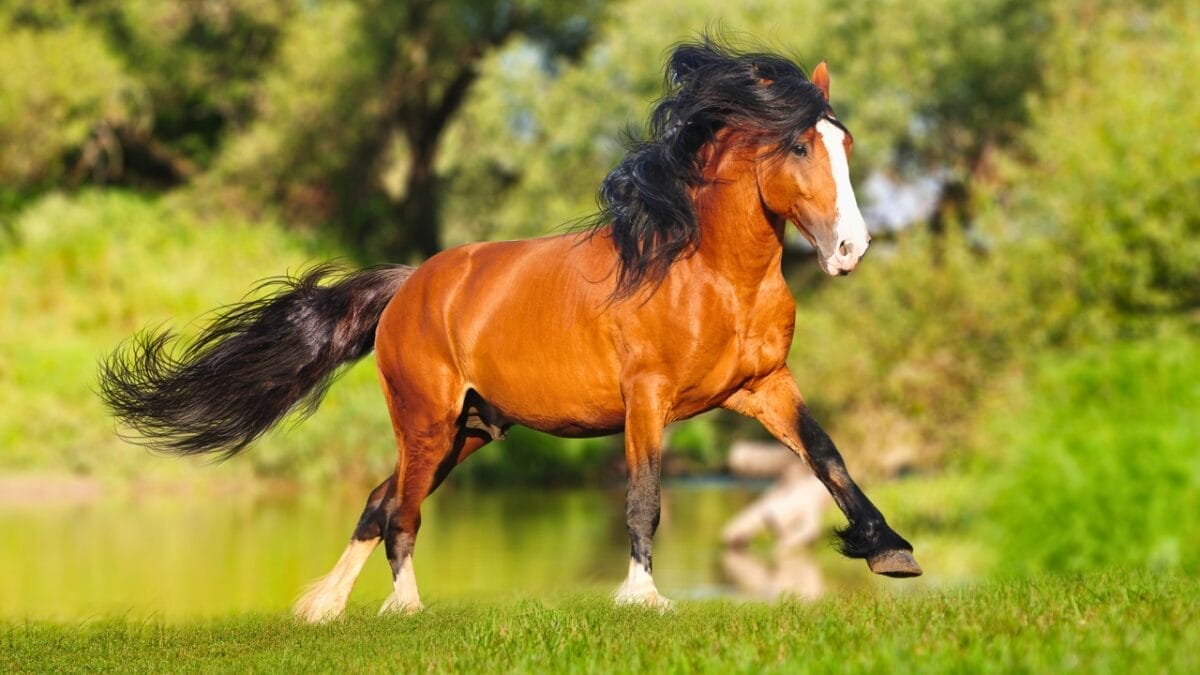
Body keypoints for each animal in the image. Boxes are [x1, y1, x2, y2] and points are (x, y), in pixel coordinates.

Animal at [99, 39, 921, 623]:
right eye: (797, 145)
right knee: (401, 509)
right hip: (427, 421)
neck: (709, 273)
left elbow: (827, 457)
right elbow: (644, 496)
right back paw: (402, 607)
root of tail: (409, 286)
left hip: (468, 429)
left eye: (844, 144)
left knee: (380, 498)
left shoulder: (761, 386)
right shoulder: (647, 397)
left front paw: (892, 552)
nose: (852, 249)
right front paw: (643, 598)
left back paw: (324, 608)